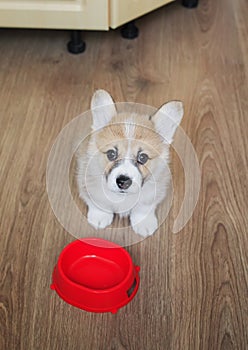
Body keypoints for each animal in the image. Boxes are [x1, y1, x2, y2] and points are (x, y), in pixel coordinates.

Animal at [76, 90, 183, 238]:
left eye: (143, 157)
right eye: (111, 154)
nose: (123, 182)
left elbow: (144, 207)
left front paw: (143, 222)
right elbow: (98, 202)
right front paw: (100, 216)